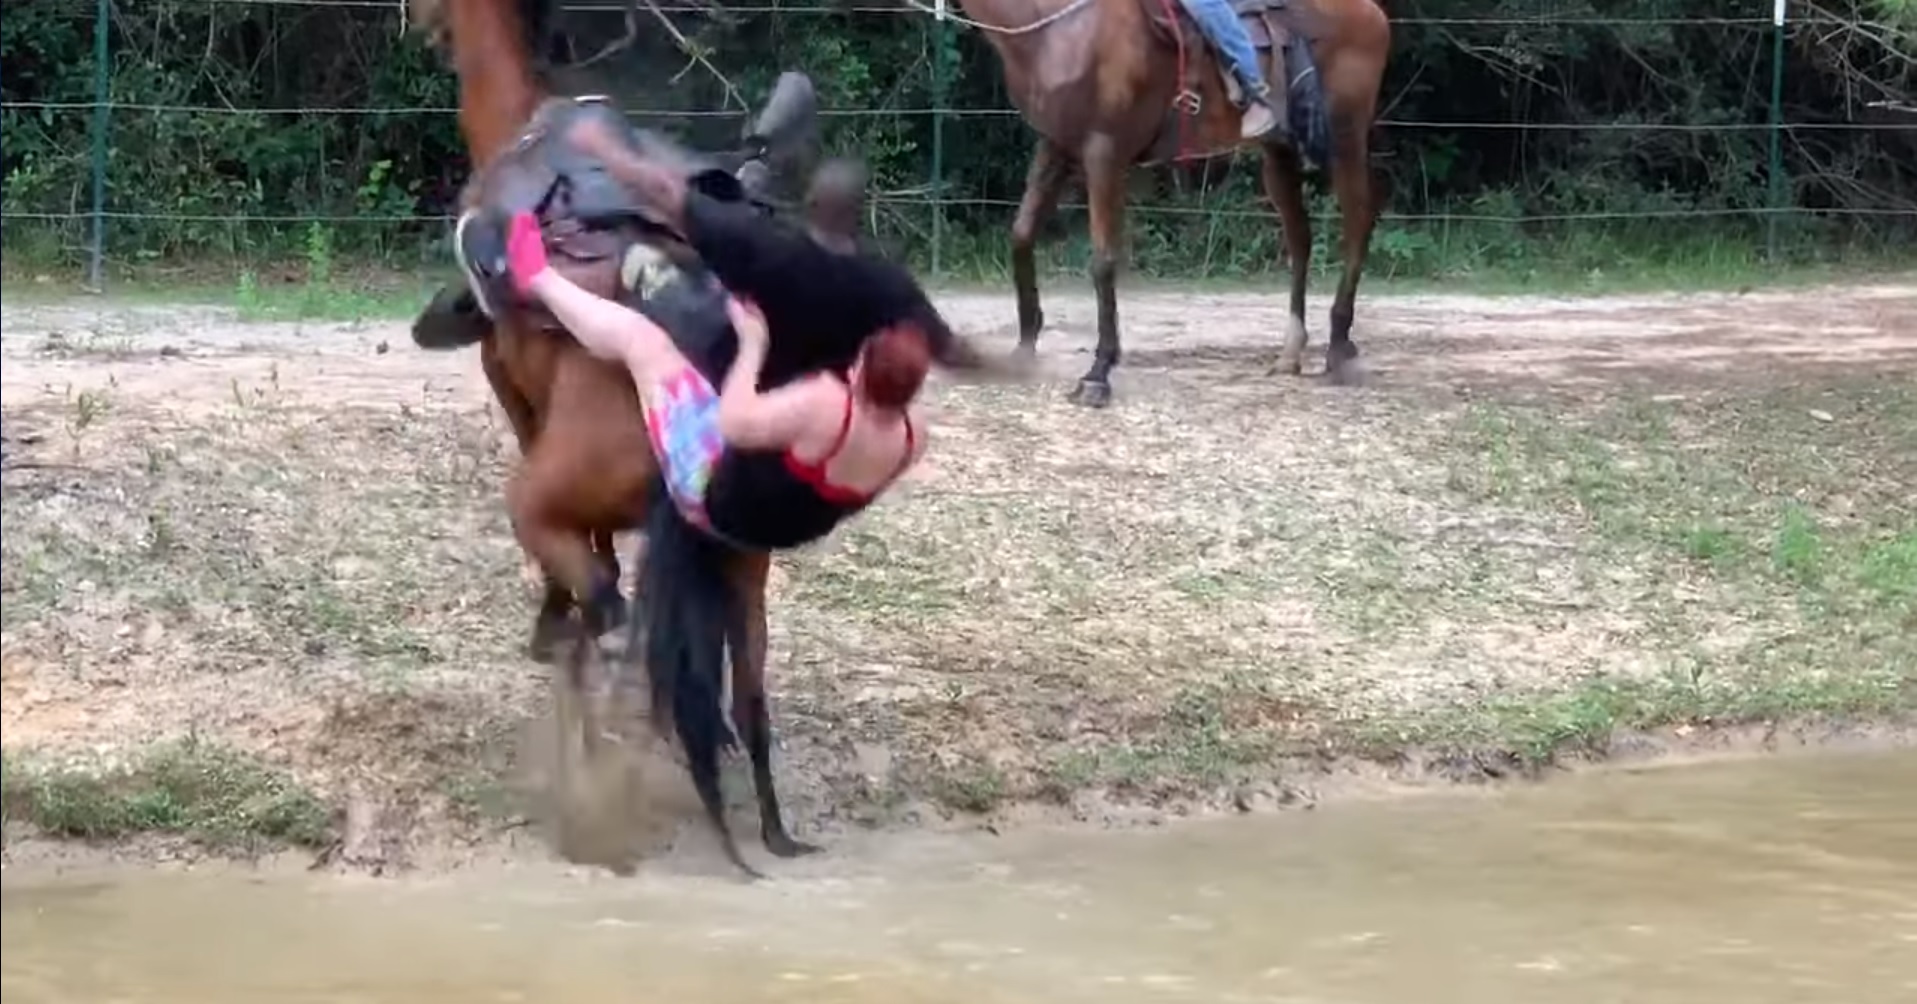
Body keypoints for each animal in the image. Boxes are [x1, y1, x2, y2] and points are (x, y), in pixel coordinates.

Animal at [935, 0, 1387, 402]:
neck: (1057, 27)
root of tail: (1373, 13)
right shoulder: (1056, 146)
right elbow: (1021, 237)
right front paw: (1024, 349)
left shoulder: (1104, 151)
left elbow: (1103, 261)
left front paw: (1098, 373)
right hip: (1279, 154)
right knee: (1300, 239)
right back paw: (1291, 351)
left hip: (1345, 139)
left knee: (1358, 223)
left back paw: (1339, 347)